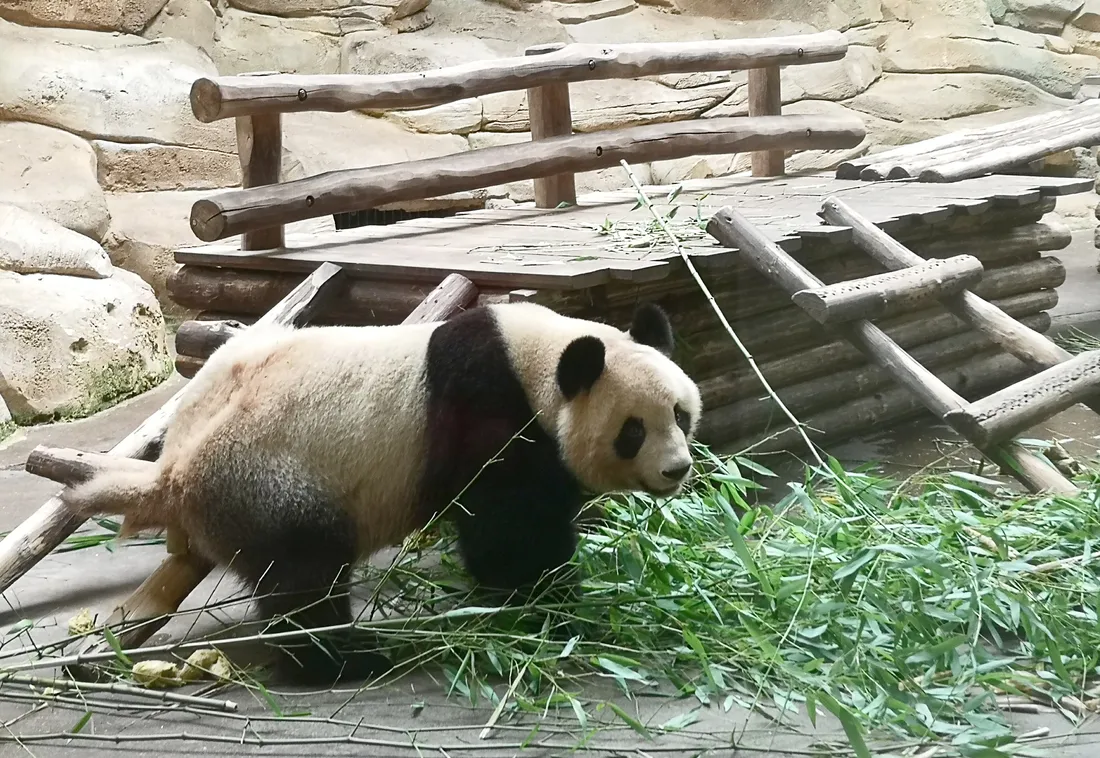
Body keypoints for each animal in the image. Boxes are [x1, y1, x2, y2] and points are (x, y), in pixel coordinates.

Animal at [61, 301, 702, 684]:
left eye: (680, 414)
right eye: (633, 431)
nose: (677, 470)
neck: (534, 362)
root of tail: (174, 469)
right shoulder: (487, 412)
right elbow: (510, 533)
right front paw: (556, 605)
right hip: (270, 480)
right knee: (303, 576)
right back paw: (346, 657)